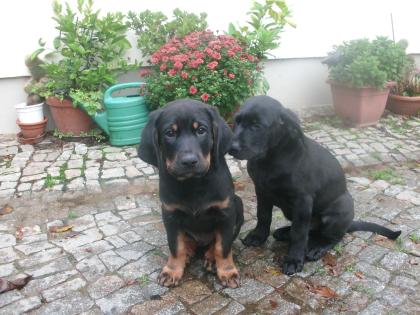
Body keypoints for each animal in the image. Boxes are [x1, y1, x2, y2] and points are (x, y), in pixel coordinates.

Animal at [139, 99, 243, 288]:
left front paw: (227, 271)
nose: (189, 161)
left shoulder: (226, 213)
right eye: (170, 133)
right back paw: (188, 253)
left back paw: (211, 258)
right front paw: (172, 270)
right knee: (188, 242)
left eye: (201, 130)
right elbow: (175, 246)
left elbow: (223, 246)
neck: (193, 183)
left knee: (216, 242)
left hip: (238, 203)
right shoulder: (170, 215)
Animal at [230, 96, 400, 276]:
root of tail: (348, 224)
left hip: (340, 208)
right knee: (310, 230)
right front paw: (258, 236)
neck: (270, 159)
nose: (231, 148)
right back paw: (284, 232)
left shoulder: (302, 201)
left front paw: (294, 260)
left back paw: (317, 247)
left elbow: (299, 233)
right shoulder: (262, 191)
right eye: (236, 121)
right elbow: (263, 216)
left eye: (257, 126)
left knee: (332, 237)